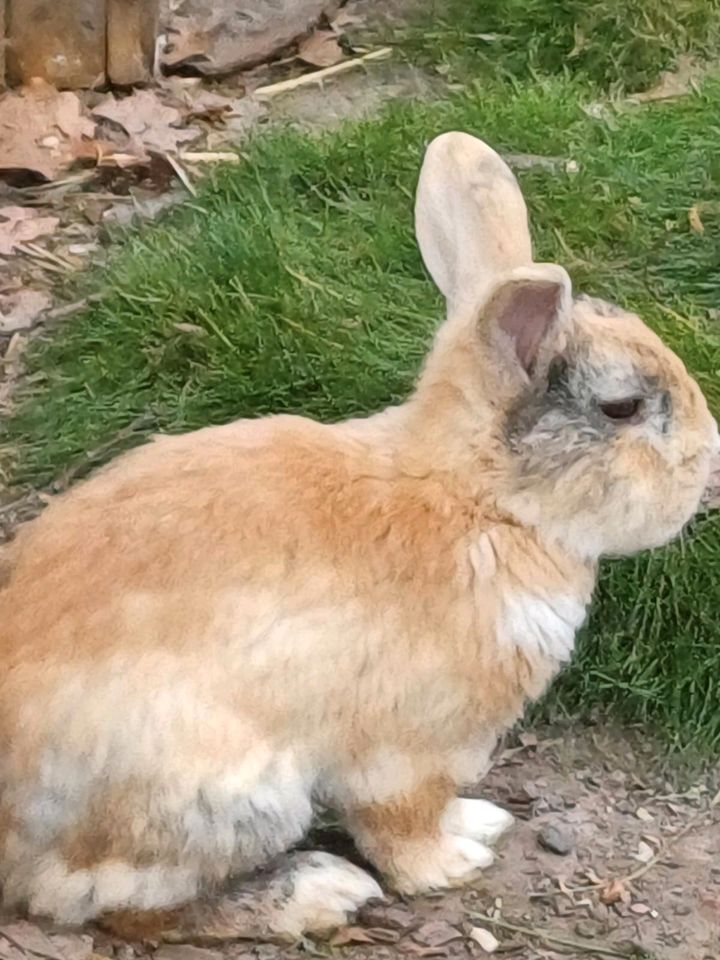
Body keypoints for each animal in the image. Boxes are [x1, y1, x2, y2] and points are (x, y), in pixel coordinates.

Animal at [1, 131, 720, 940]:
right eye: (622, 409)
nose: (710, 462)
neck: (480, 501)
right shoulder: (405, 752)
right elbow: (402, 826)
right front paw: (453, 863)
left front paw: (479, 821)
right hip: (221, 795)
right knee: (117, 906)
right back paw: (320, 890)